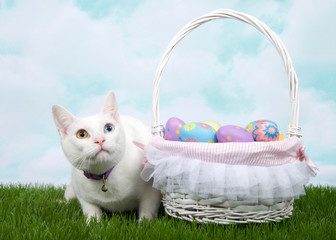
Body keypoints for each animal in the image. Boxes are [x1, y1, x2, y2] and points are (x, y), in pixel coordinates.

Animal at [52, 91, 161, 222]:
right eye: (81, 134)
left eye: (109, 128)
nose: (100, 140)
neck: (104, 175)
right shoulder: (85, 198)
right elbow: (91, 212)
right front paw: (92, 223)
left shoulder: (151, 194)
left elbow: (146, 212)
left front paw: (143, 224)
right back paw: (60, 202)